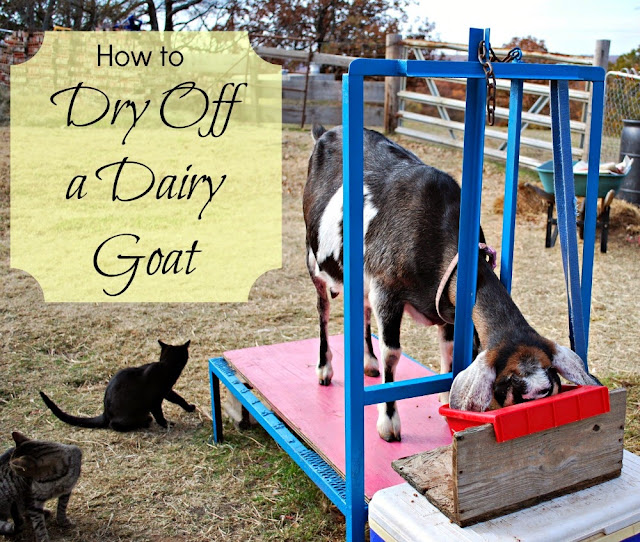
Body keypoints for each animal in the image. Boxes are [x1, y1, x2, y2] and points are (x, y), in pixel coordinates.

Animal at [39, 340, 194, 434]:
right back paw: (145, 422)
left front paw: (189, 408)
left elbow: (179, 399)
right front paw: (168, 425)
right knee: (114, 425)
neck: (165, 366)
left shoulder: (167, 392)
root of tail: (105, 413)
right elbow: (161, 414)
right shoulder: (156, 400)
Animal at [302, 125, 596, 444]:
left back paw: (368, 363)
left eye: (551, 384)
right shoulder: (386, 289)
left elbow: (450, 348)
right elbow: (392, 354)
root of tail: (324, 132)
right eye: (512, 386)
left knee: (362, 310)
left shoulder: (447, 304)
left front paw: (445, 400)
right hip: (314, 258)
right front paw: (389, 423)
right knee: (323, 310)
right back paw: (324, 369)